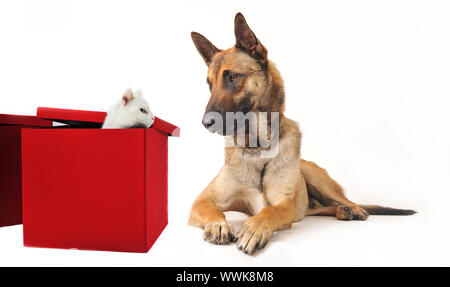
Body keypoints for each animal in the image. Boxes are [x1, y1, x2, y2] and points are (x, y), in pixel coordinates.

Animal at [188, 12, 416, 256]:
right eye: (209, 85)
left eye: (232, 77)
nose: (206, 123)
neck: (257, 148)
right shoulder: (202, 201)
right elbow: (214, 211)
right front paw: (218, 225)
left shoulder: (284, 204)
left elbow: (269, 212)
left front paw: (254, 229)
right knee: (321, 208)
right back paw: (342, 212)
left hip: (315, 178)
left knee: (345, 200)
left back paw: (353, 209)